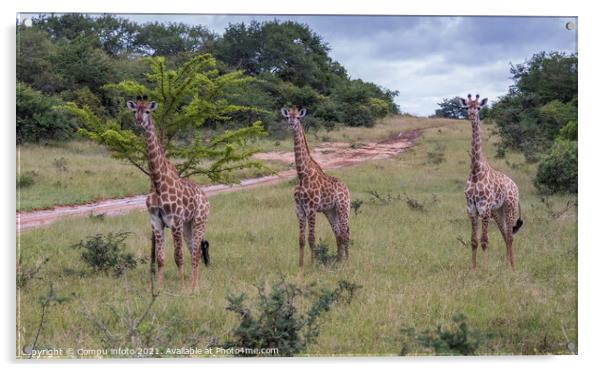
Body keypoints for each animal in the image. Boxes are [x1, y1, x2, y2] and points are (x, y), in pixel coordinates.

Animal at [125, 96, 210, 290]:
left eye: (148, 111)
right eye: (134, 111)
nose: (139, 122)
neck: (157, 182)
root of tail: (205, 196)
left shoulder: (175, 221)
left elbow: (178, 257)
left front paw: (181, 287)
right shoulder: (156, 221)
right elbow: (161, 258)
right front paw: (159, 287)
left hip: (199, 221)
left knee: (195, 252)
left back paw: (194, 287)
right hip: (188, 225)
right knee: (193, 250)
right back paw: (194, 284)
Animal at [278, 106, 350, 266]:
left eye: (298, 117)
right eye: (288, 117)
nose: (291, 124)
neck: (301, 174)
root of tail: (347, 188)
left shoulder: (311, 208)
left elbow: (311, 238)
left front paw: (312, 265)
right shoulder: (299, 209)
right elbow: (301, 239)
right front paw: (300, 266)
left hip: (343, 207)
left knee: (346, 232)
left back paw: (348, 261)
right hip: (330, 211)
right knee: (338, 234)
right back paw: (339, 261)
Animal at [460, 93, 520, 270]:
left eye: (479, 107)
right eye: (467, 107)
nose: (472, 115)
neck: (475, 173)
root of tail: (515, 185)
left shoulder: (484, 208)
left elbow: (484, 241)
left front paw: (485, 270)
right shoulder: (471, 208)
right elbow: (474, 241)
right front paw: (473, 269)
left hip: (509, 207)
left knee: (510, 236)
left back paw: (512, 267)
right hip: (498, 211)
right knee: (505, 234)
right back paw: (507, 265)